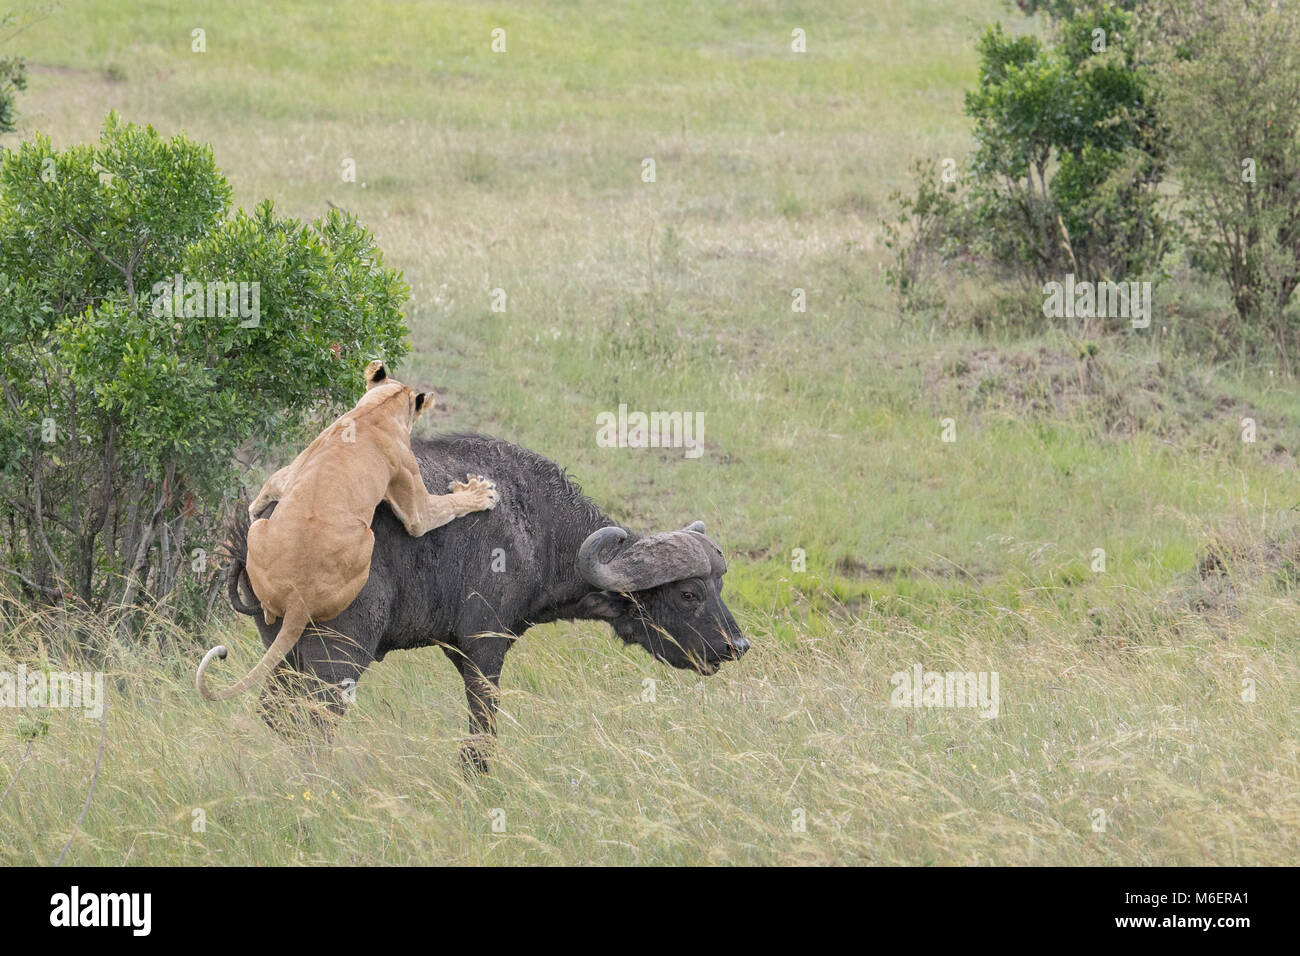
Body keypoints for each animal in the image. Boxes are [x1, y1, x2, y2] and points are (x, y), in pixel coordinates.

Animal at [196, 359, 498, 701]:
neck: (377, 409)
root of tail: (299, 599)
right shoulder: (414, 503)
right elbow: (439, 509)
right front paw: (481, 493)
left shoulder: (292, 470)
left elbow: (269, 487)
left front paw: (252, 505)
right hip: (367, 542)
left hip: (260, 531)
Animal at [223, 432, 749, 770]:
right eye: (688, 593)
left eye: (719, 589)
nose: (736, 646)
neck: (536, 523)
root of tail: (263, 522)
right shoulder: (484, 647)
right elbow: (483, 724)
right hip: (338, 657)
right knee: (315, 720)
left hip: (285, 653)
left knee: (278, 716)